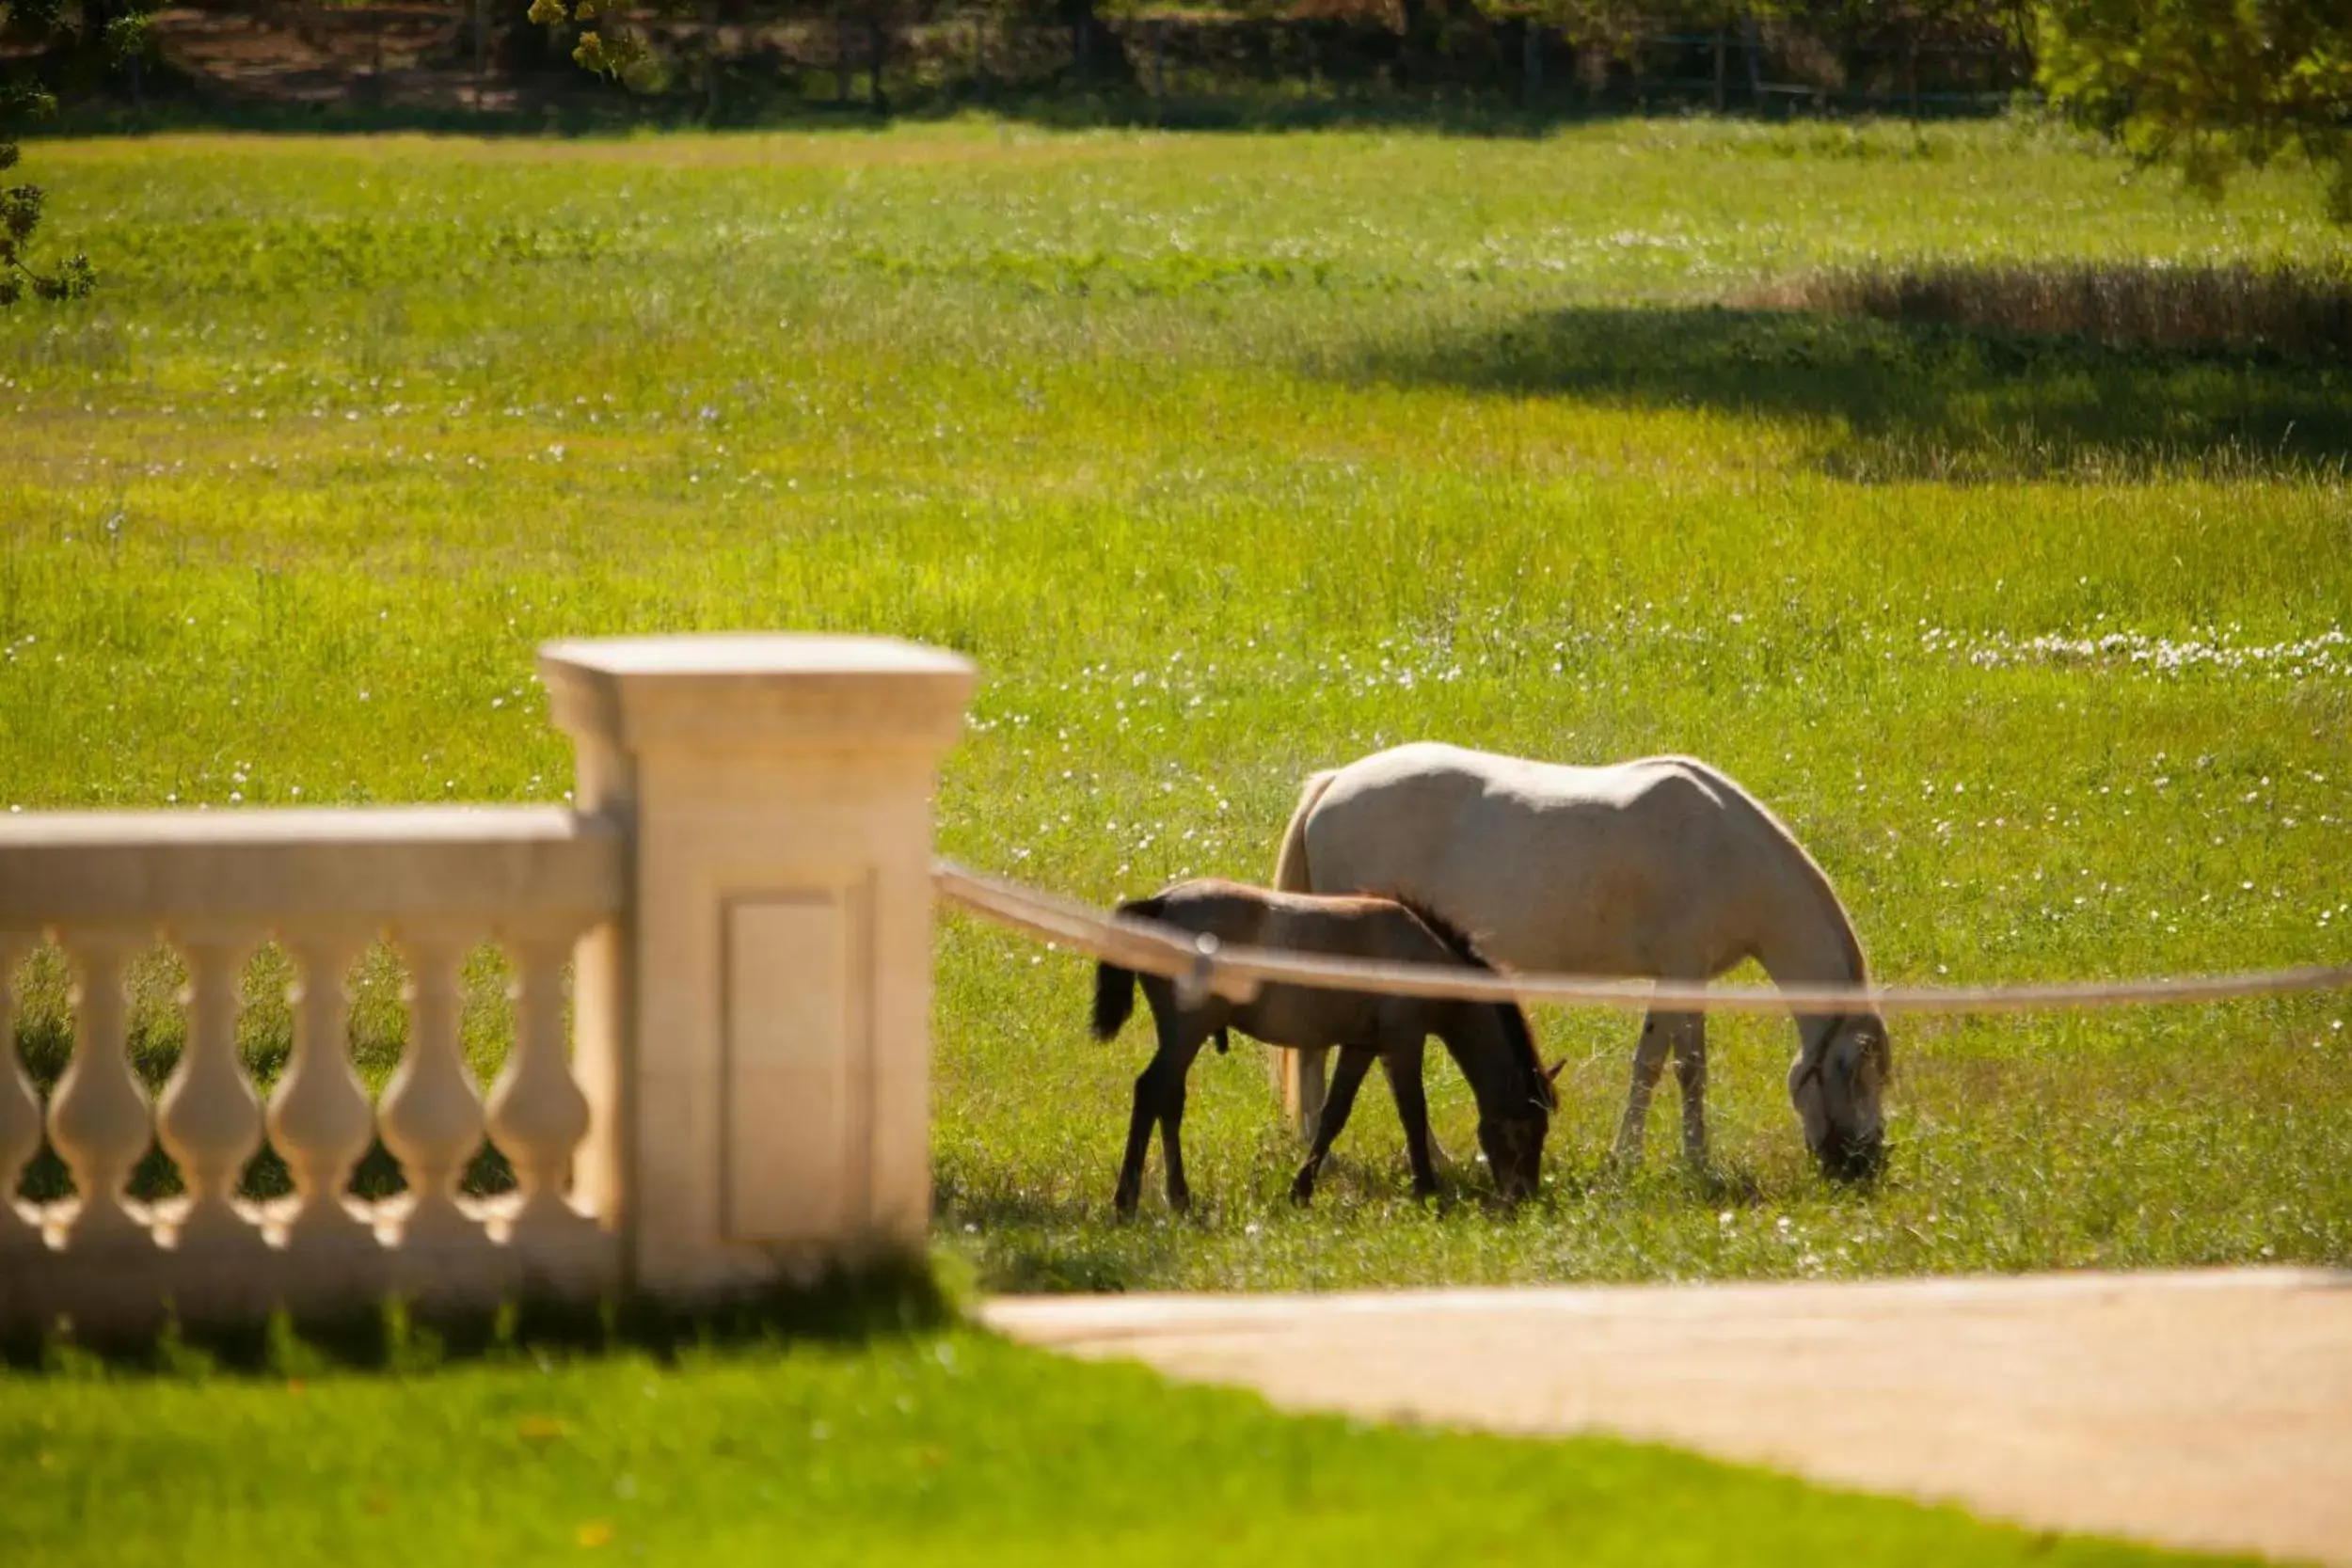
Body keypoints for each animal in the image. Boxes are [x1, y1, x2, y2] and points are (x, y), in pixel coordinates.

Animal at [1270, 747, 1891, 1175]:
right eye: (1859, 1073)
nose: (1868, 1163)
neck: (1725, 852)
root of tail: (1334, 784)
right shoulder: (1683, 972)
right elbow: (1676, 1069)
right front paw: (1673, 1162)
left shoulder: (1677, 978)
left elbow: (1663, 1065)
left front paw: (1649, 1159)